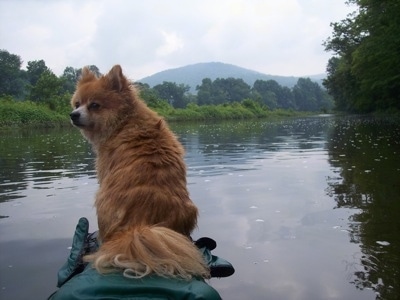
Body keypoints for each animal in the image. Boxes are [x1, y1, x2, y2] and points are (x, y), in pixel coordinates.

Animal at [69, 64, 209, 280]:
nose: (73, 114)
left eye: (94, 105)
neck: (124, 121)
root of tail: (139, 227)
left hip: (101, 200)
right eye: (77, 104)